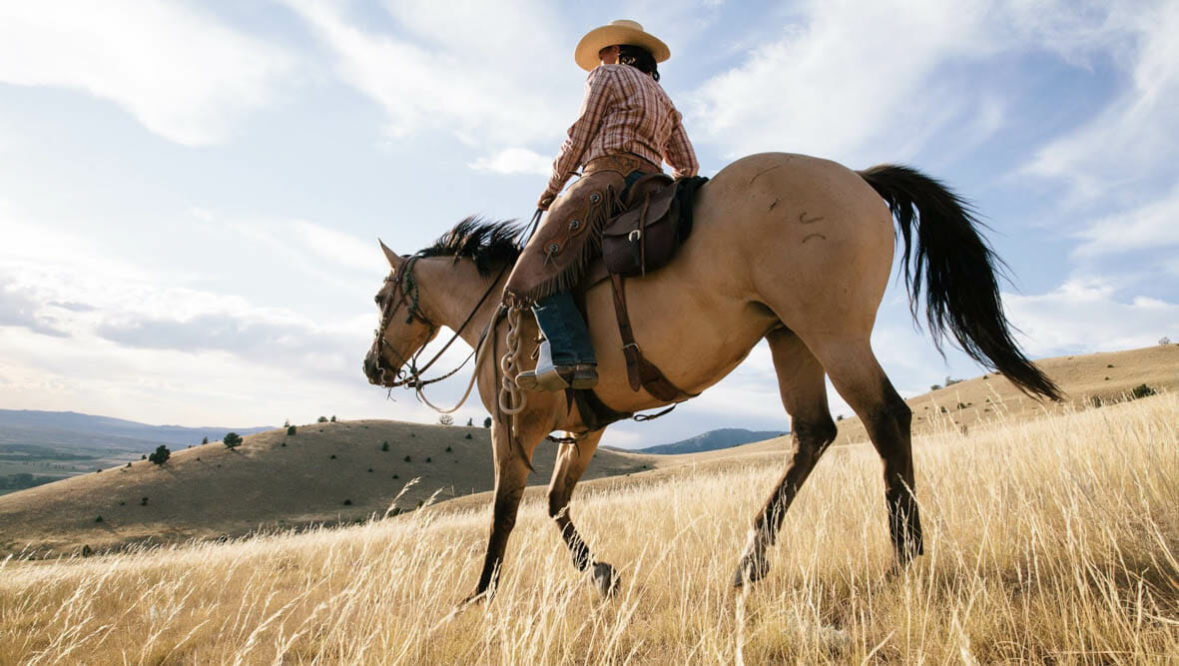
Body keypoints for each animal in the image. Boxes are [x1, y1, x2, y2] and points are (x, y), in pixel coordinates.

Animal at [363, 152, 1060, 601]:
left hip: (833, 335)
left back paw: (904, 561)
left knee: (886, 418)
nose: (373, 365)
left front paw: (479, 595)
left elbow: (504, 513)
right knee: (813, 434)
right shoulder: (585, 431)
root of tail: (857, 180)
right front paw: (603, 575)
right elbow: (557, 504)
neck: (500, 312)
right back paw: (751, 560)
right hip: (790, 338)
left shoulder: (512, 429)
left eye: (378, 298)